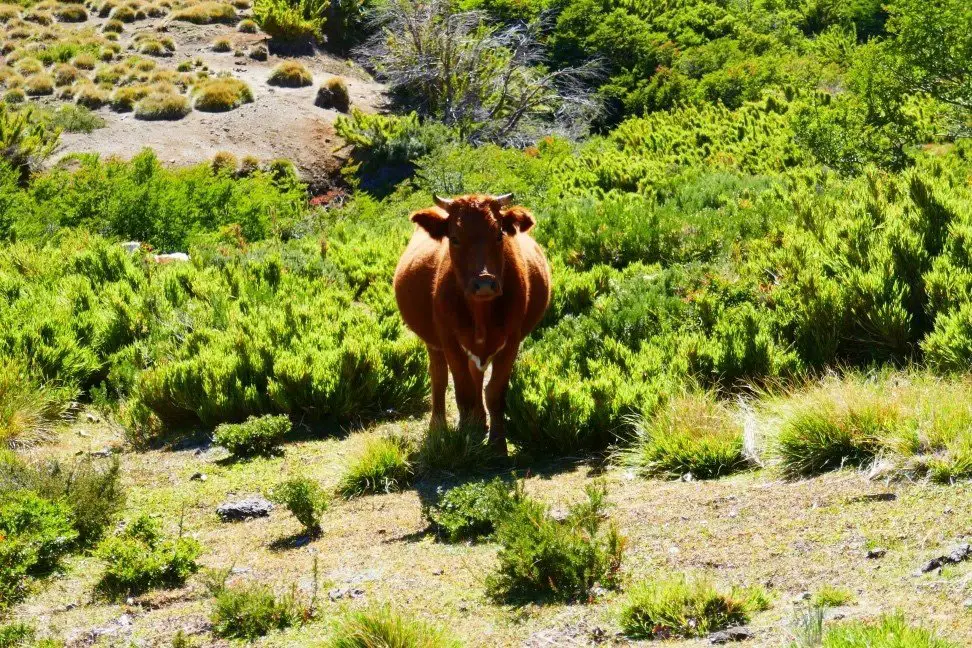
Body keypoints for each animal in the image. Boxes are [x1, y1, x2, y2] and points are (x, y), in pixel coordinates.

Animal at [392, 195, 548, 454]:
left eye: (499, 235)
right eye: (454, 238)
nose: (484, 284)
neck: (481, 314)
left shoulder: (511, 341)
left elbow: (494, 393)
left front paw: (497, 445)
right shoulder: (449, 340)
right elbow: (462, 393)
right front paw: (466, 441)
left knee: (476, 374)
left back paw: (479, 421)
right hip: (434, 344)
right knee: (439, 377)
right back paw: (439, 428)